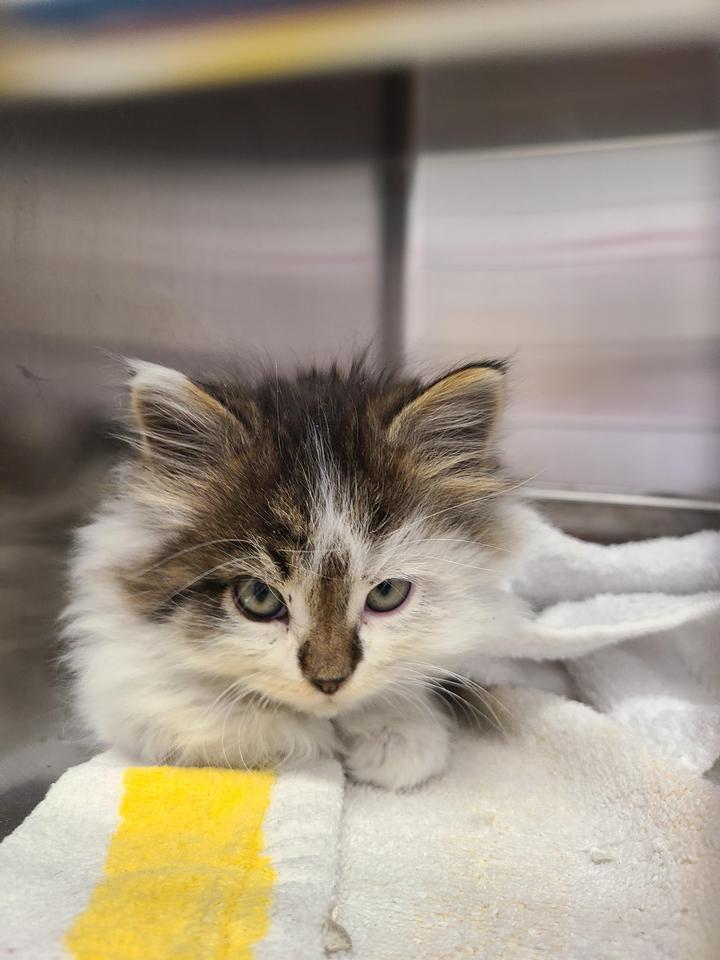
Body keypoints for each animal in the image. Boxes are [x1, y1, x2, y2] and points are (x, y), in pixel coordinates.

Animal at [63, 358, 527, 790]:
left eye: (387, 593)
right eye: (259, 598)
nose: (329, 681)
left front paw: (395, 732)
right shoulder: (121, 675)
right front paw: (320, 736)